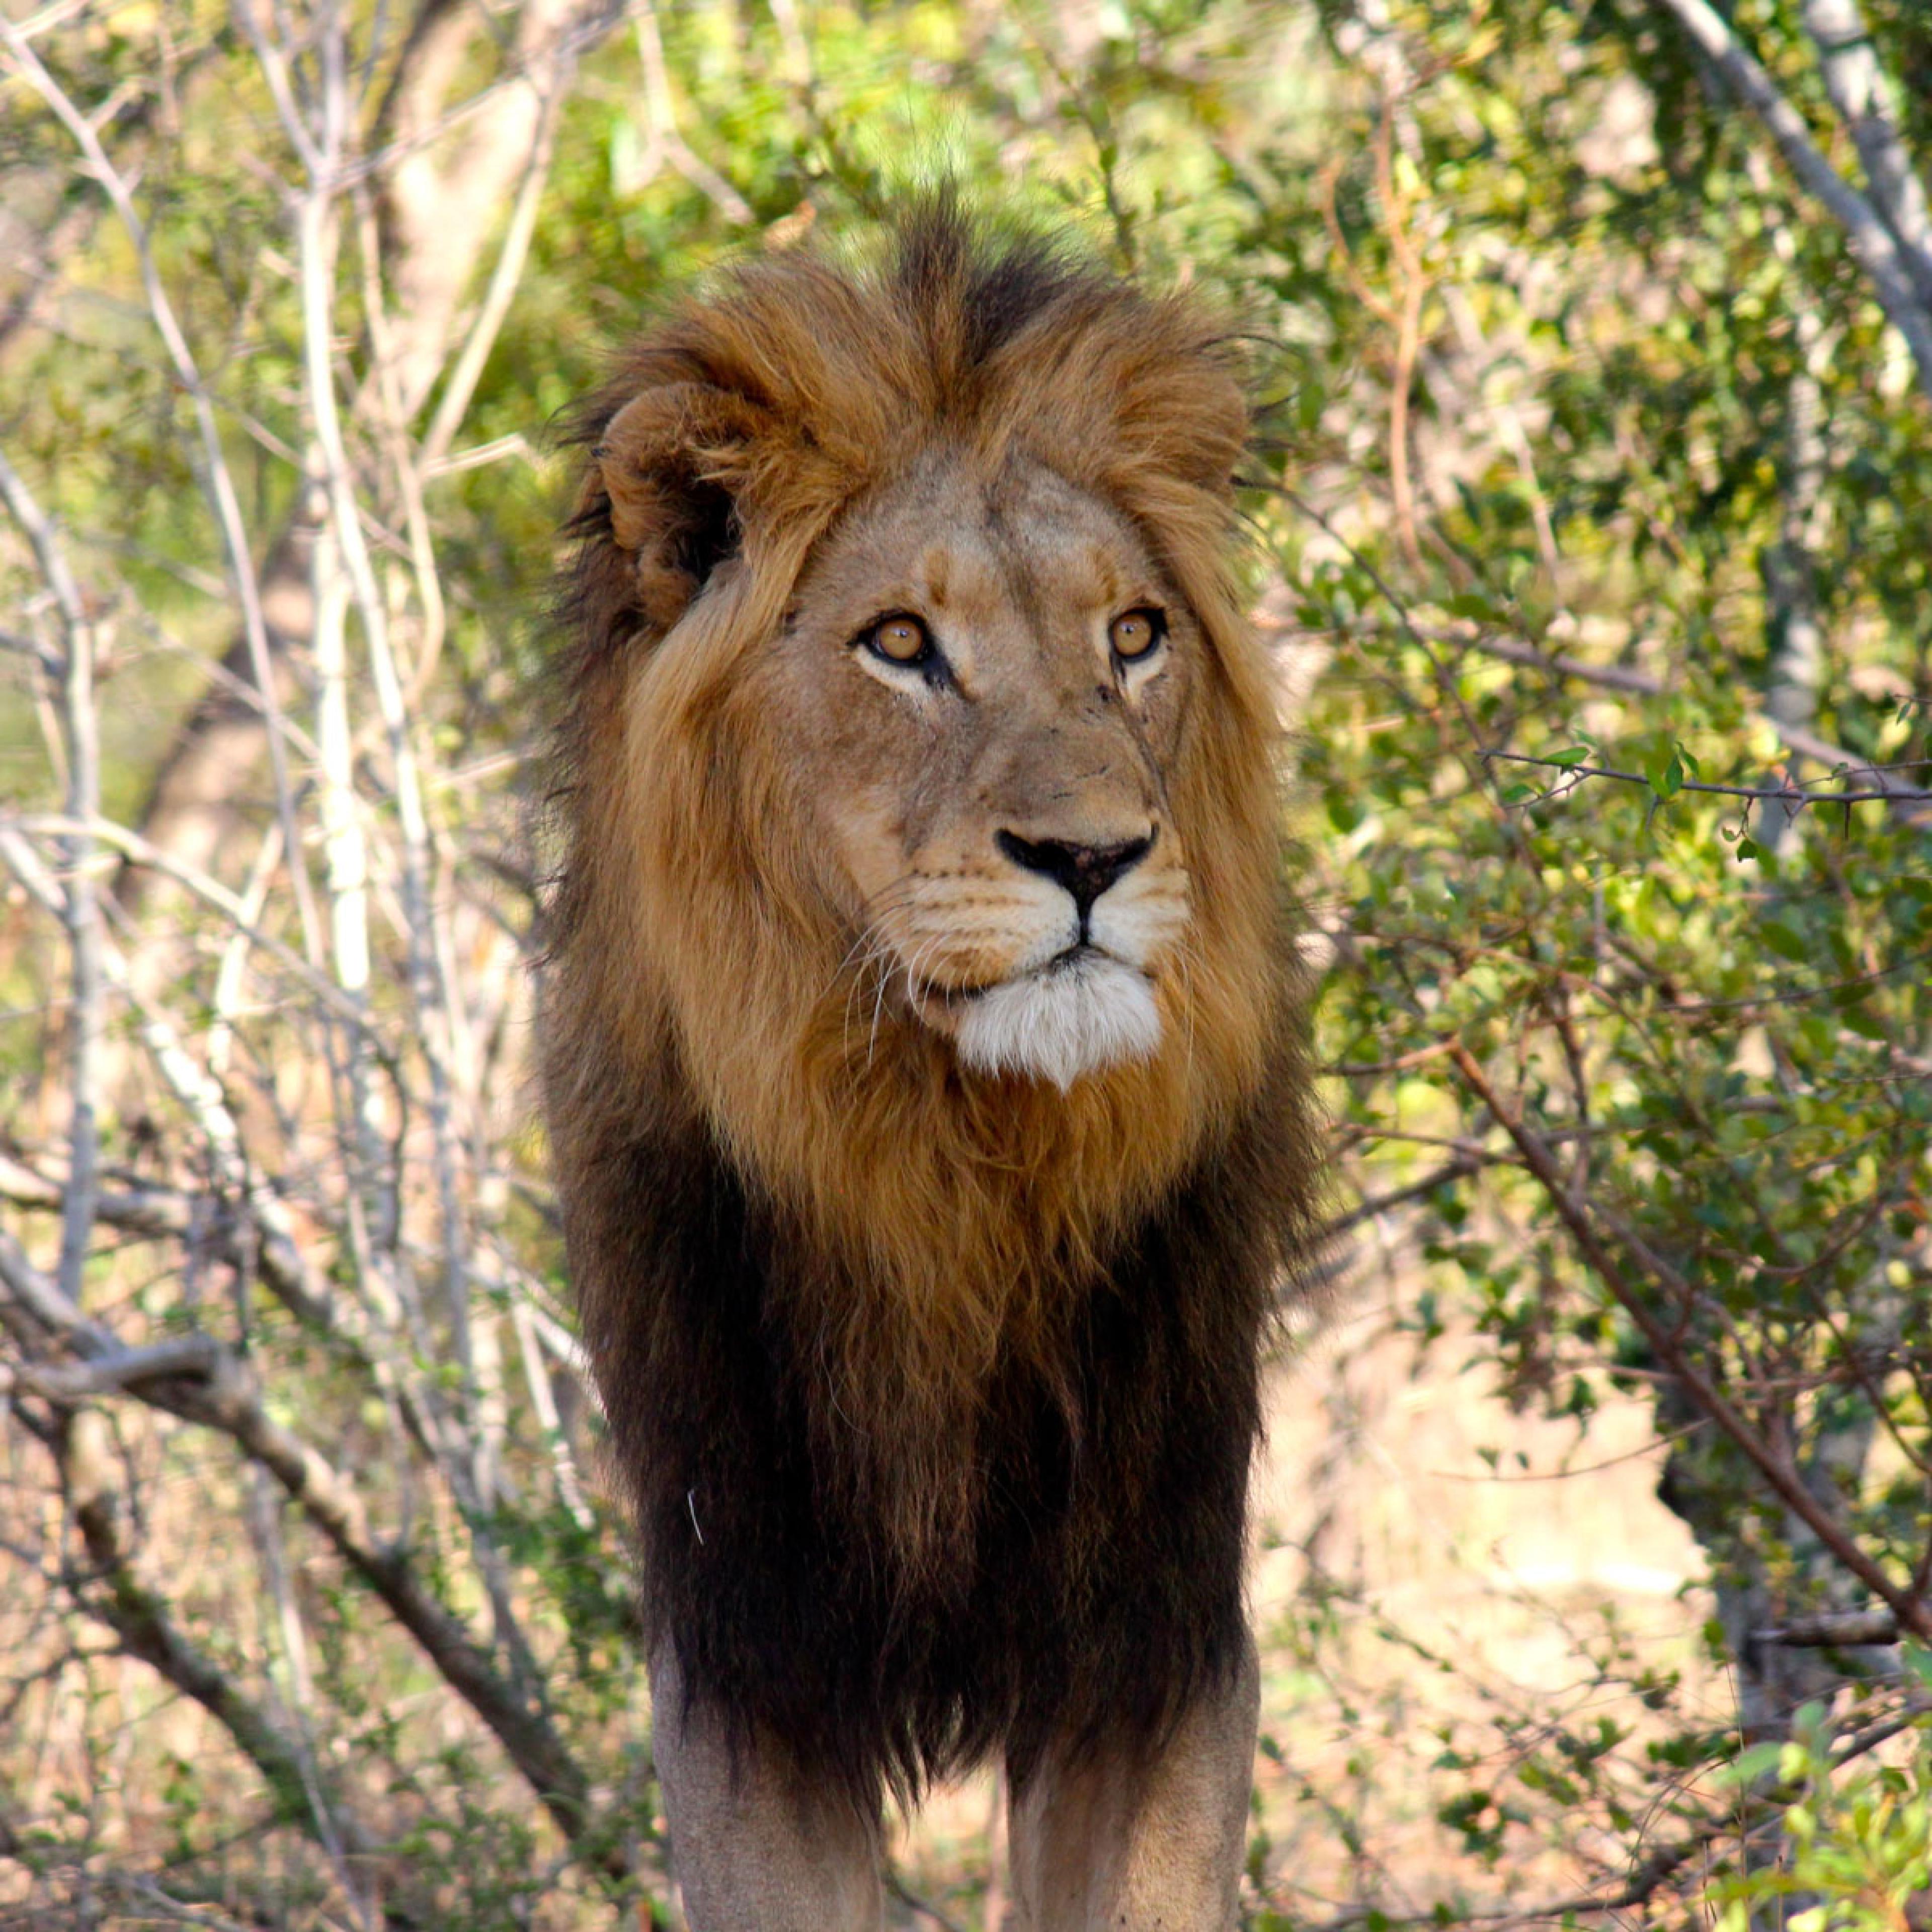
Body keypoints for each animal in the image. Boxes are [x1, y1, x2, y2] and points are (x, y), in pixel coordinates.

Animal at [538, 200, 1322, 1930]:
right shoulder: (748, 1662)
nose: (1094, 856)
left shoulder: (1156, 1643)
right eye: (900, 644)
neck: (948, 1165)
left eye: (1133, 636)